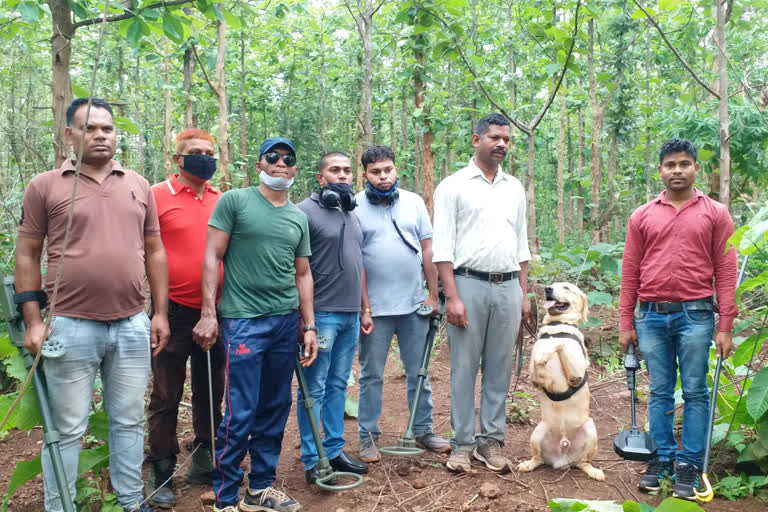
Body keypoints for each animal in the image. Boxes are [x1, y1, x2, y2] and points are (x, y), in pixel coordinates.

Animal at [516, 284, 608, 480]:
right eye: (553, 284)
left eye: (566, 287)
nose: (547, 289)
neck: (557, 326)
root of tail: (563, 457)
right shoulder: (534, 376)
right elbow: (539, 366)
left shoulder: (576, 375)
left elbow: (560, 343)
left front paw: (546, 352)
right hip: (538, 432)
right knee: (538, 458)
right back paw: (528, 464)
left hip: (590, 429)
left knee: (584, 462)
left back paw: (594, 471)